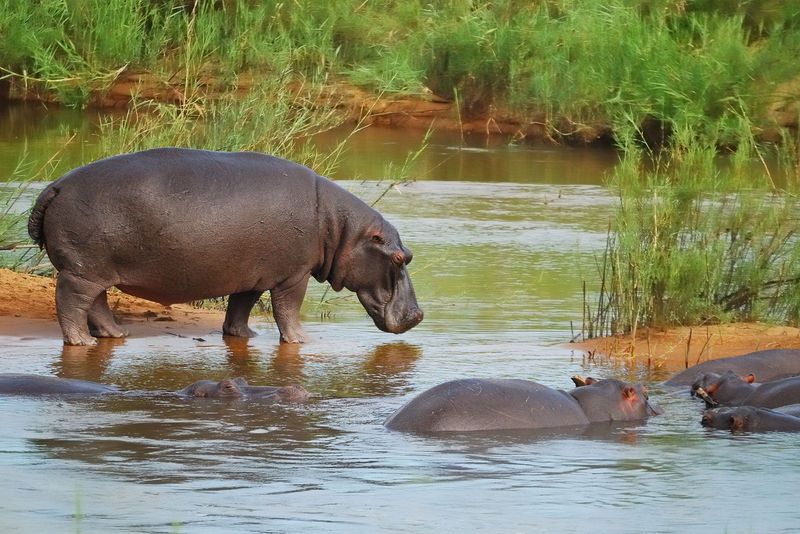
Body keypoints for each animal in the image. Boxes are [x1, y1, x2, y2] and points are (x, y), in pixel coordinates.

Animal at [27, 147, 422, 348]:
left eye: (410, 256)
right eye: (399, 257)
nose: (418, 316)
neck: (340, 229)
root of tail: (56, 185)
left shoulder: (253, 275)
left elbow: (240, 308)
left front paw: (245, 336)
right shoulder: (292, 277)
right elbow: (288, 310)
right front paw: (302, 341)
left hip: (95, 269)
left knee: (96, 303)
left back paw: (116, 335)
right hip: (82, 271)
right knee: (71, 301)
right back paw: (82, 343)